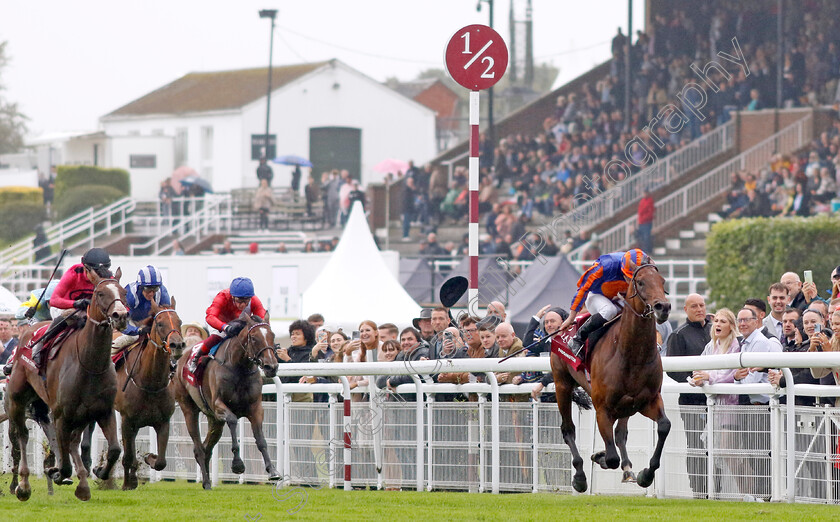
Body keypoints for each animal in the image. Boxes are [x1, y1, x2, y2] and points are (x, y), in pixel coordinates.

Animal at [3, 270, 128, 498]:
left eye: (123, 292)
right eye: (100, 293)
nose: (120, 315)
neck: (89, 363)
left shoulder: (103, 411)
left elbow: (114, 449)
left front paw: (98, 471)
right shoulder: (61, 414)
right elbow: (65, 461)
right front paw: (58, 472)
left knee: (69, 441)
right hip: (16, 400)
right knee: (22, 436)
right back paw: (23, 485)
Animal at [115, 298, 185, 486]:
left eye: (179, 322)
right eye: (160, 323)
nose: (177, 345)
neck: (150, 383)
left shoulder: (163, 422)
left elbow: (161, 462)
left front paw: (149, 457)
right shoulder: (126, 420)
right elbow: (127, 456)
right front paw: (127, 483)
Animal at [172, 310, 280, 486]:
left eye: (272, 335)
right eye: (254, 338)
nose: (271, 366)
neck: (240, 367)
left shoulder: (256, 408)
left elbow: (261, 440)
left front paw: (273, 471)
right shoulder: (218, 406)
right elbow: (233, 420)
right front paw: (237, 464)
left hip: (214, 420)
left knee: (206, 447)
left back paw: (207, 481)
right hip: (189, 409)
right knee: (198, 447)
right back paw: (206, 482)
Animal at [552, 262, 668, 490]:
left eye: (662, 281)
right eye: (641, 282)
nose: (663, 307)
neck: (631, 355)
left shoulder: (648, 400)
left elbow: (664, 427)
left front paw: (646, 474)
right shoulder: (602, 409)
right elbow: (612, 457)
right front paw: (600, 457)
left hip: (626, 406)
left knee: (620, 434)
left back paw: (626, 467)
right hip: (562, 384)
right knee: (568, 429)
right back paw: (580, 476)